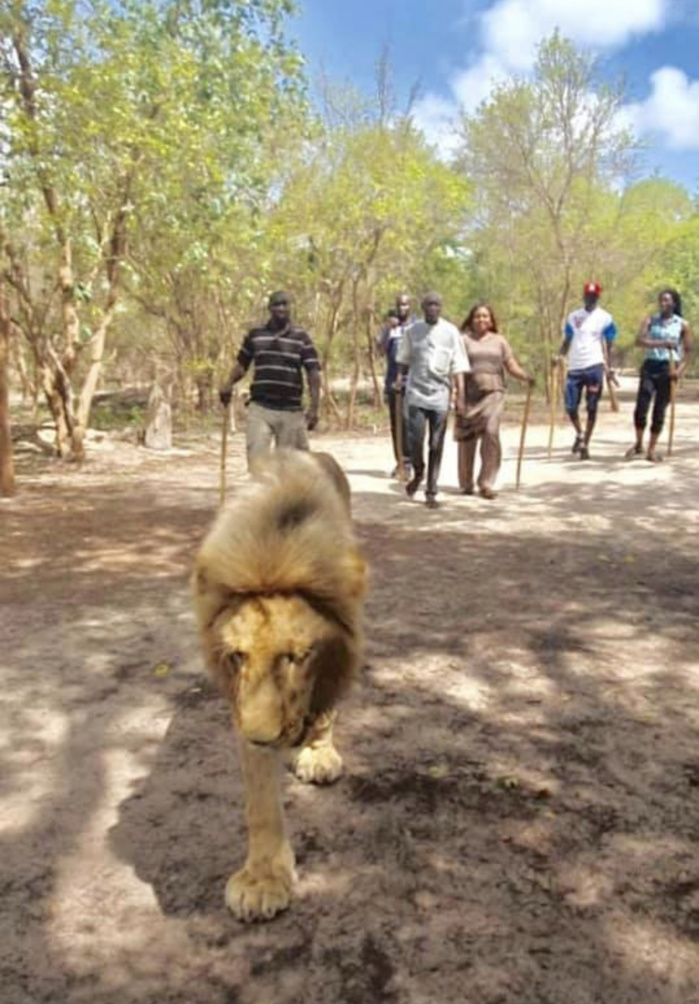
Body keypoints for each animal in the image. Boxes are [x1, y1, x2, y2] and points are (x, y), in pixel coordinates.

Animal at [190, 451, 365, 919]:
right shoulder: (243, 706)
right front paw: (262, 880)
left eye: (296, 657)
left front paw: (318, 753)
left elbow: (325, 708)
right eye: (237, 656)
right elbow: (261, 802)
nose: (262, 736)